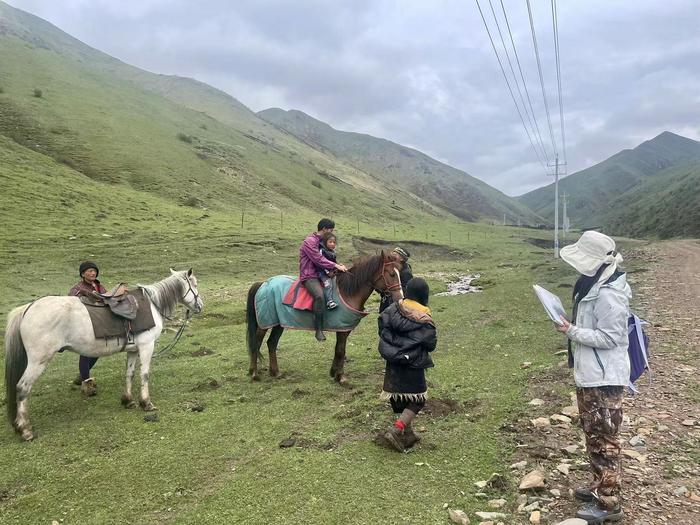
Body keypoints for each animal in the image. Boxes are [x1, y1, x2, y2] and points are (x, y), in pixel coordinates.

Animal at [4, 268, 202, 440]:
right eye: (195, 284)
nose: (200, 305)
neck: (154, 304)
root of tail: (28, 308)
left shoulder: (133, 350)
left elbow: (129, 374)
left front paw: (128, 401)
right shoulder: (147, 346)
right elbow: (144, 375)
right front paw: (146, 403)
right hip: (38, 361)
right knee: (22, 388)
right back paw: (26, 430)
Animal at [246, 252, 402, 382]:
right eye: (391, 274)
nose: (399, 297)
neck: (347, 292)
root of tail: (263, 284)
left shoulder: (344, 328)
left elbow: (338, 349)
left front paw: (334, 372)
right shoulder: (342, 329)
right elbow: (341, 350)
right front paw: (340, 376)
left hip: (279, 323)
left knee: (271, 343)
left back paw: (275, 372)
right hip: (265, 323)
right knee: (256, 343)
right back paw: (254, 372)